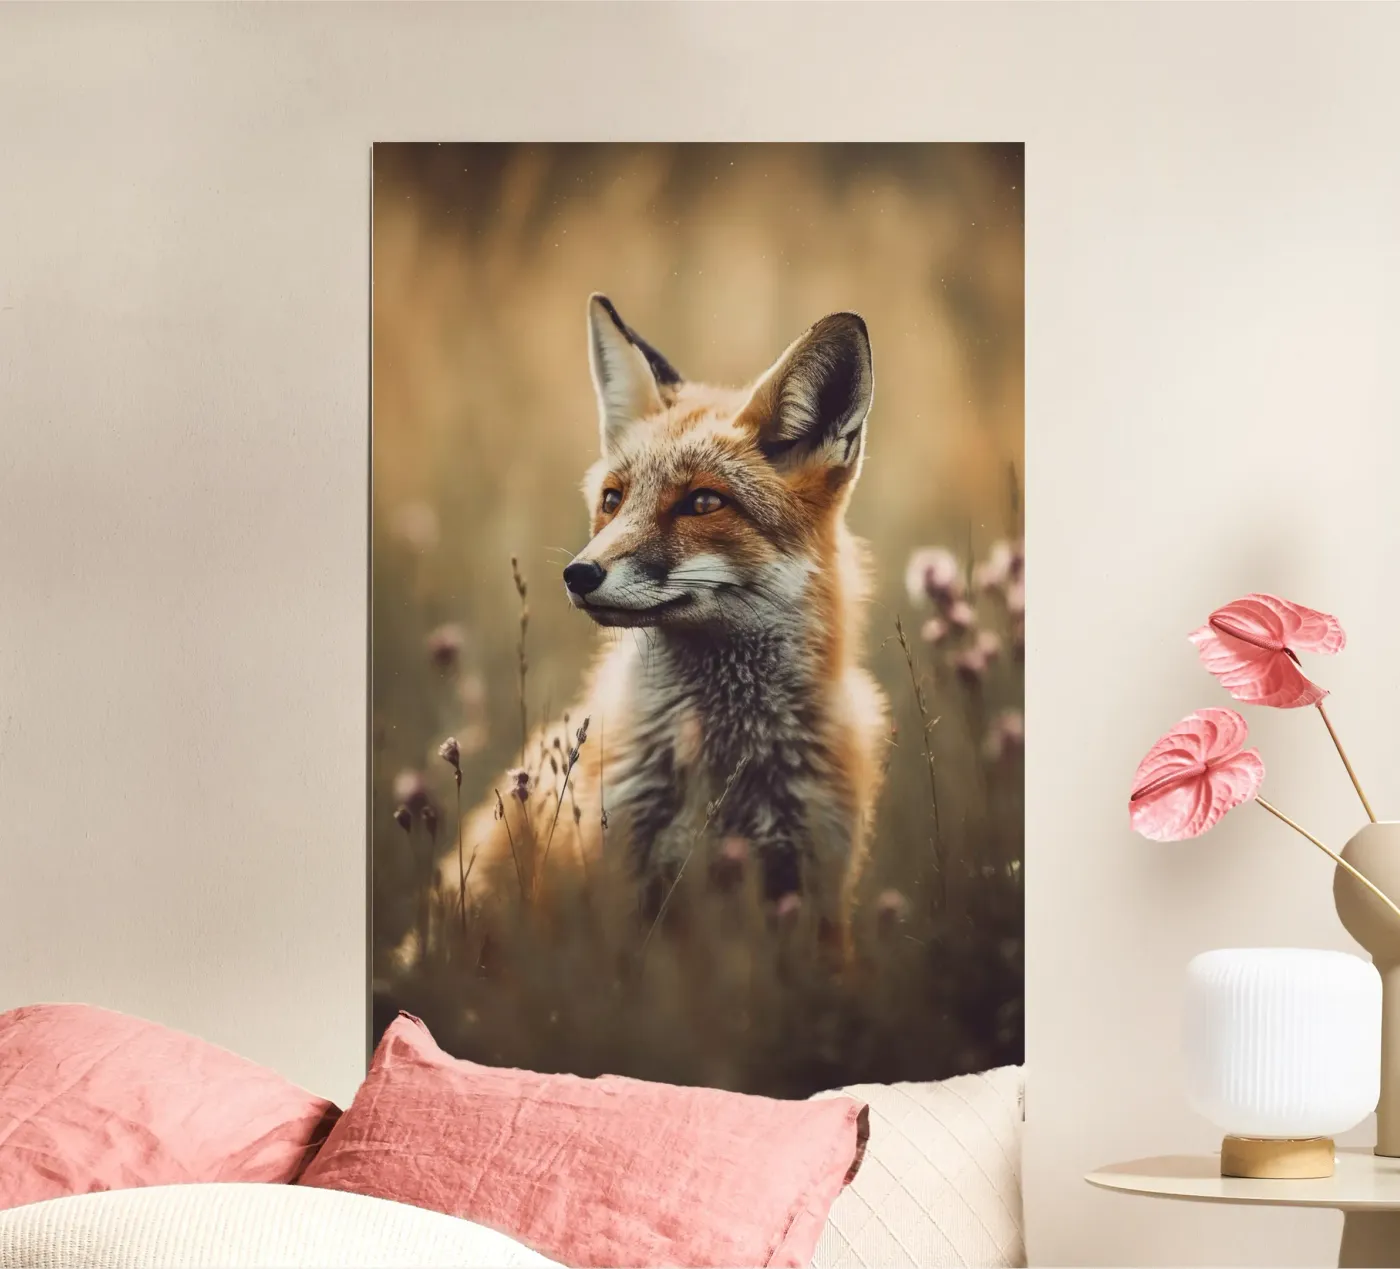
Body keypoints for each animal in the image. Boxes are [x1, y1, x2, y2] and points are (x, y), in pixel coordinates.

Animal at [397, 294, 889, 968]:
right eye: (613, 499)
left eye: (703, 503)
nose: (578, 574)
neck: (724, 769)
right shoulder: (617, 885)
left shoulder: (814, 892)